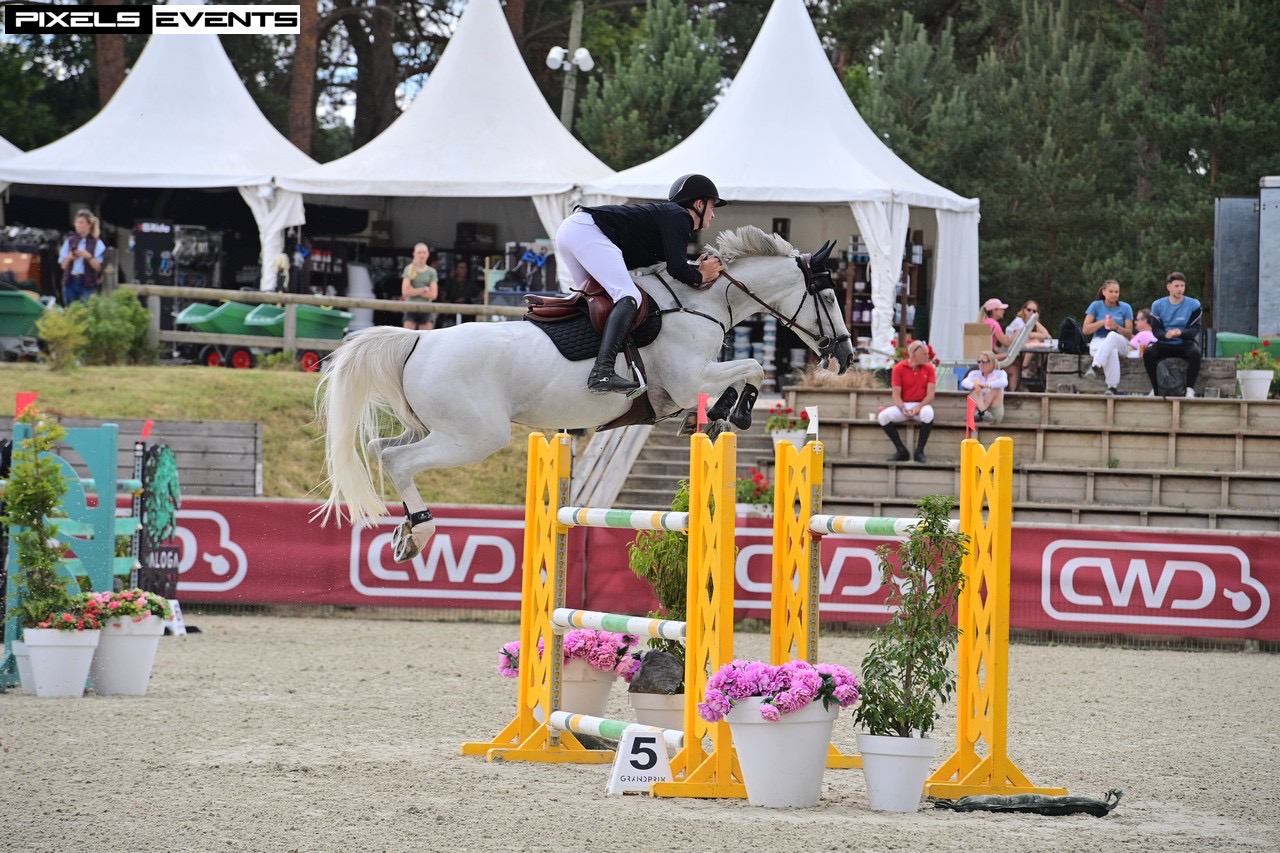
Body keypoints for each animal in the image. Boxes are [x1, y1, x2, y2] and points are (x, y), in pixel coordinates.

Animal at [315, 224, 856, 561]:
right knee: (398, 460)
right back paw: (422, 529)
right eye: (830, 296)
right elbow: (752, 368)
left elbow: (742, 373)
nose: (847, 355)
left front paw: (715, 416)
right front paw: (735, 414)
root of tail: (419, 340)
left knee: (379, 448)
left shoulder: (688, 385)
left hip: (436, 428)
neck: (703, 301)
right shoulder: (689, 380)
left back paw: (405, 531)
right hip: (473, 436)